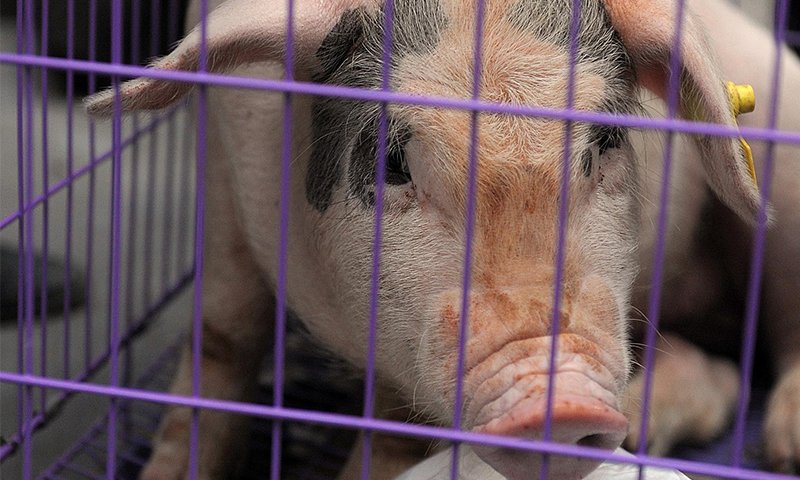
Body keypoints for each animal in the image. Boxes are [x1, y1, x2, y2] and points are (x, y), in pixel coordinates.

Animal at [84, 0, 800, 478]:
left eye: (605, 142)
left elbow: (394, 433)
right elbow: (222, 340)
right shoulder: (222, 186)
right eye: (392, 162)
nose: (561, 400)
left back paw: (779, 444)